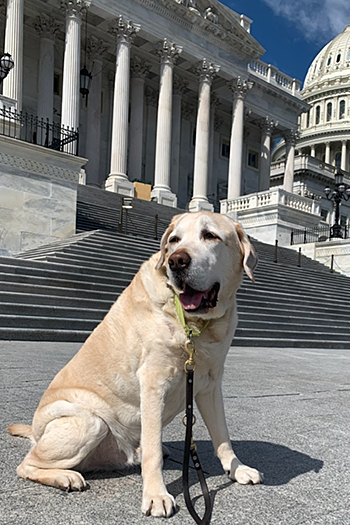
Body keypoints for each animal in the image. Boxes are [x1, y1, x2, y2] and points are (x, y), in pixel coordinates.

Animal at [8, 210, 262, 516]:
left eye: (210, 235)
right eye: (174, 240)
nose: (177, 260)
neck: (194, 326)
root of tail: (36, 433)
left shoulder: (210, 384)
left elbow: (222, 435)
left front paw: (237, 469)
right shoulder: (153, 382)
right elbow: (153, 452)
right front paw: (156, 495)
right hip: (89, 421)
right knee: (27, 464)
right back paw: (65, 477)